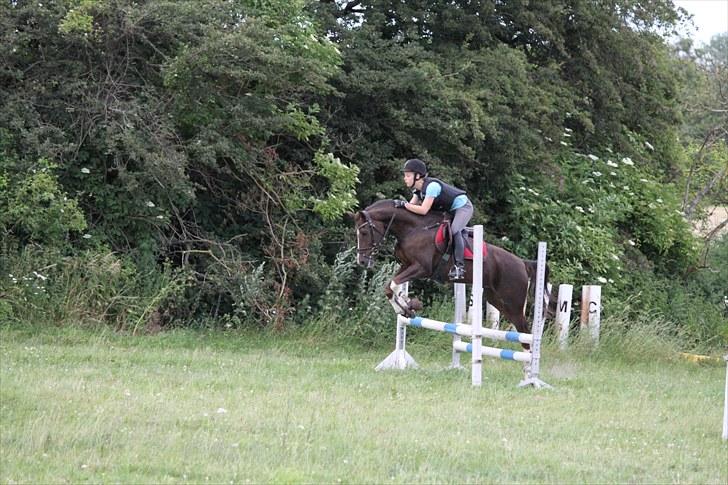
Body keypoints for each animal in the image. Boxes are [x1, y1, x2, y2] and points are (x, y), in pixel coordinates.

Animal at [354, 199, 550, 341]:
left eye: (364, 233)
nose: (362, 261)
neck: (414, 229)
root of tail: (522, 263)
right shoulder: (407, 265)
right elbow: (390, 287)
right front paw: (407, 306)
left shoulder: (421, 268)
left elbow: (393, 284)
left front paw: (408, 305)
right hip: (497, 299)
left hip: (513, 303)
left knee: (525, 331)